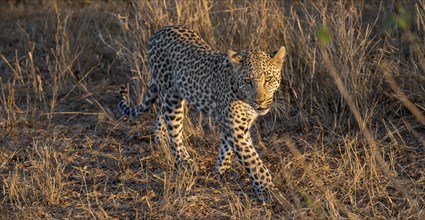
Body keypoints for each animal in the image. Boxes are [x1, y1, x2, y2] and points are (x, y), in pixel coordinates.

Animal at [117, 25, 286, 201]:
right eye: (247, 81)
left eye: (268, 79)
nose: (260, 101)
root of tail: (159, 32)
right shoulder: (235, 127)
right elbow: (253, 160)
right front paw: (267, 189)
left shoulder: (240, 125)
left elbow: (227, 149)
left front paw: (220, 171)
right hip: (172, 98)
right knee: (174, 131)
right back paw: (184, 161)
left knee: (161, 116)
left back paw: (161, 141)